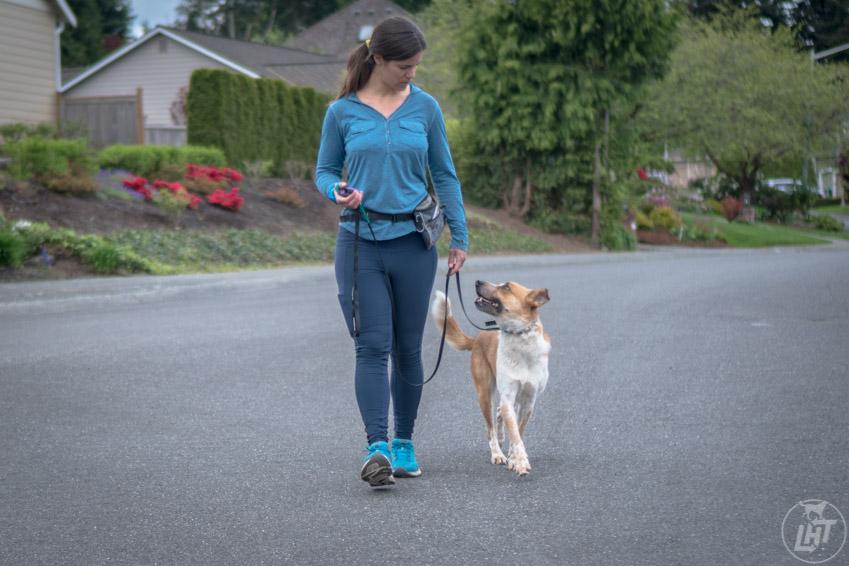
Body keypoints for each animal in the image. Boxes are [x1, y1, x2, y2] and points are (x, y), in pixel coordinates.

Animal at [430, 282, 548, 478]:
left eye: (506, 287)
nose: (478, 282)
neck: (520, 338)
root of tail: (478, 337)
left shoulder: (528, 402)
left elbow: (518, 432)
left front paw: (515, 458)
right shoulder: (509, 396)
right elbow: (515, 434)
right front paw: (520, 462)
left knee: (500, 415)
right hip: (485, 393)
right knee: (490, 428)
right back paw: (497, 453)